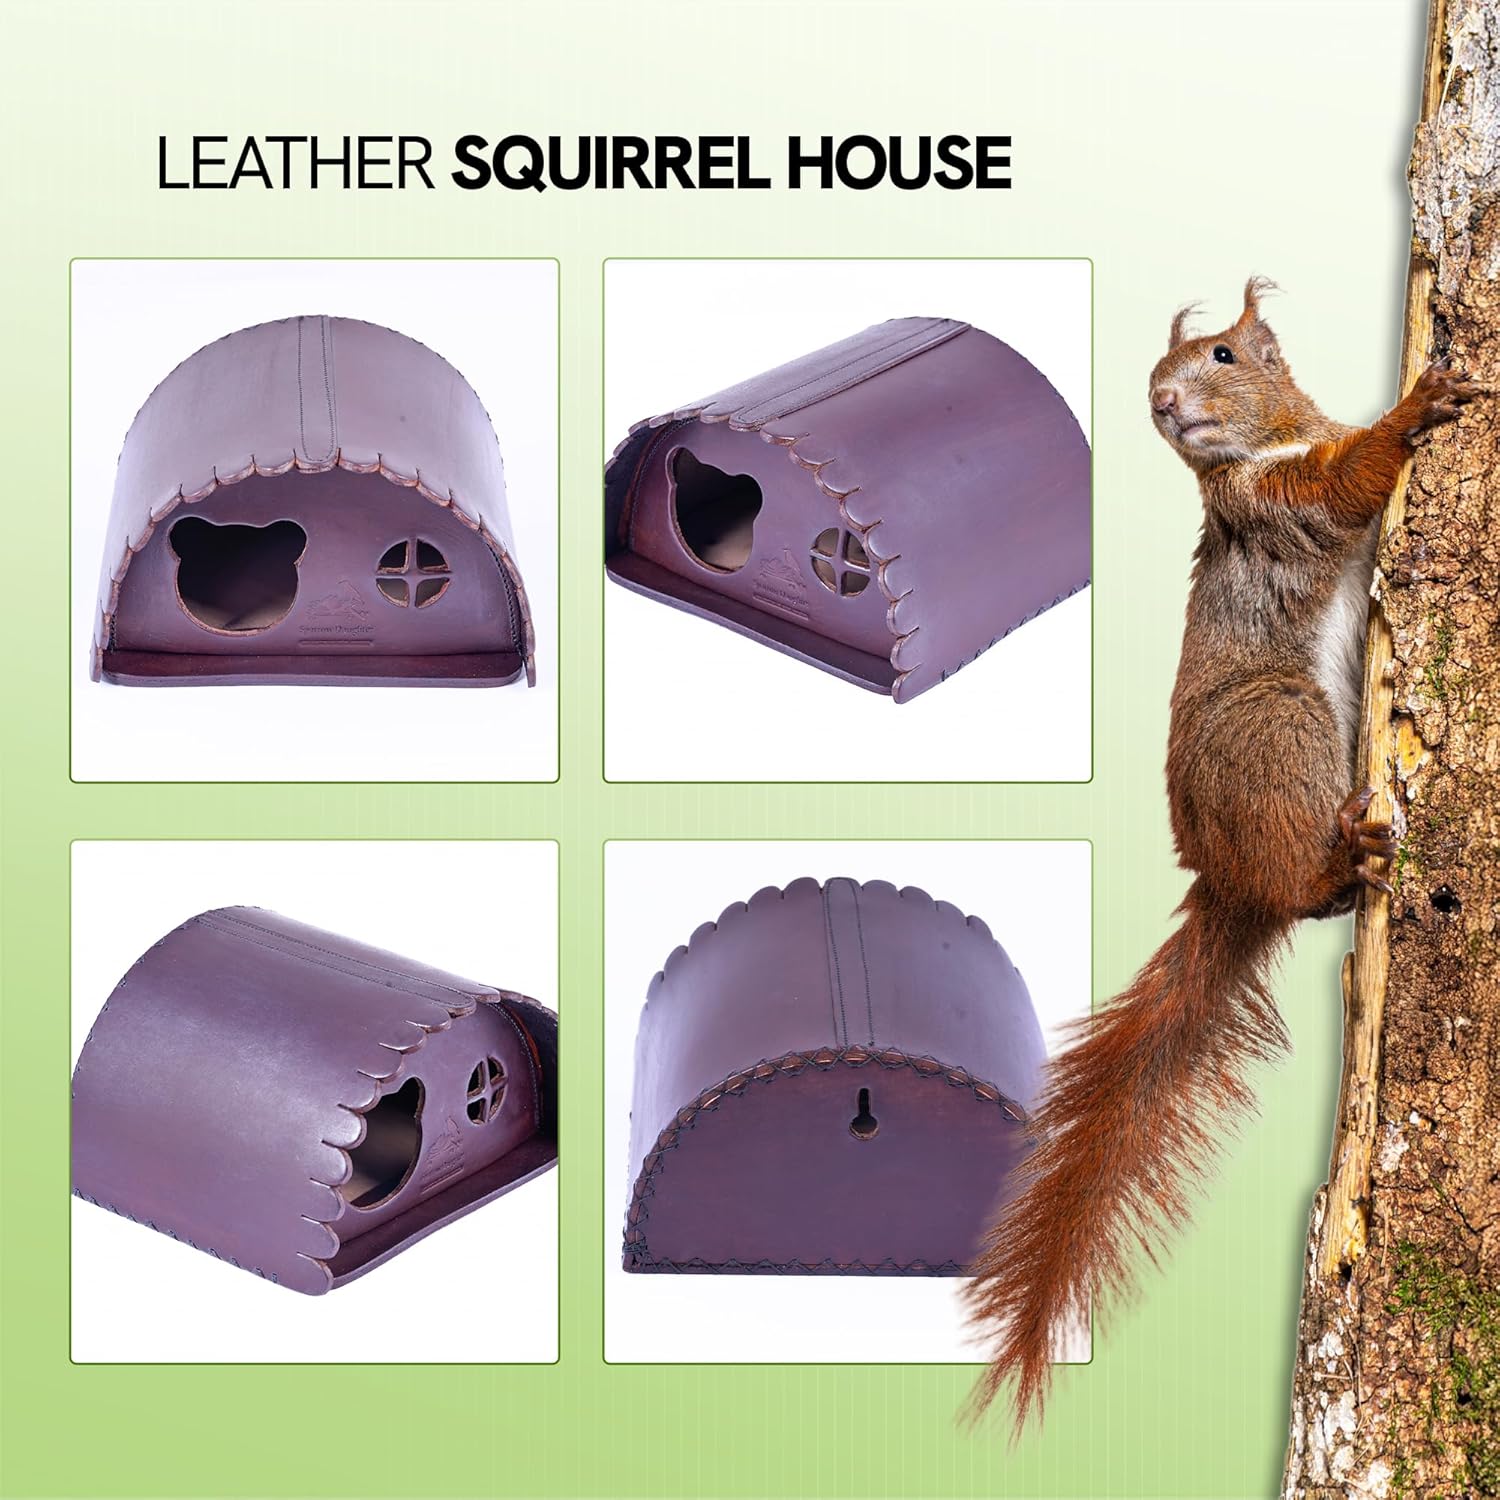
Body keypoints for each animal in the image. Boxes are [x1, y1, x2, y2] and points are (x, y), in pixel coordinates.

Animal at [963, 277, 1475, 1431]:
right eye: (1160, 373)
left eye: (1225, 356)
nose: (1160, 403)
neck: (1268, 442)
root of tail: (1228, 879)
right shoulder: (1280, 508)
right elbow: (1347, 483)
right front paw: (1414, 407)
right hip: (1279, 725)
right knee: (1308, 886)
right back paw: (1345, 859)